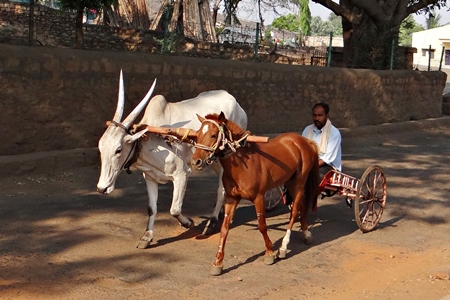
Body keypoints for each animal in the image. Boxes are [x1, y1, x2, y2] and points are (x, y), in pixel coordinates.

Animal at [190, 112, 320, 274]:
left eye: (213, 135)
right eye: (197, 134)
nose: (196, 162)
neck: (243, 165)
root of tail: (304, 141)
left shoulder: (259, 197)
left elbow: (262, 226)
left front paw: (269, 253)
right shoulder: (232, 198)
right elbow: (224, 228)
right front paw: (218, 262)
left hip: (299, 182)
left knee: (295, 210)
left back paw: (283, 247)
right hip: (290, 182)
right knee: (301, 206)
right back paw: (306, 233)